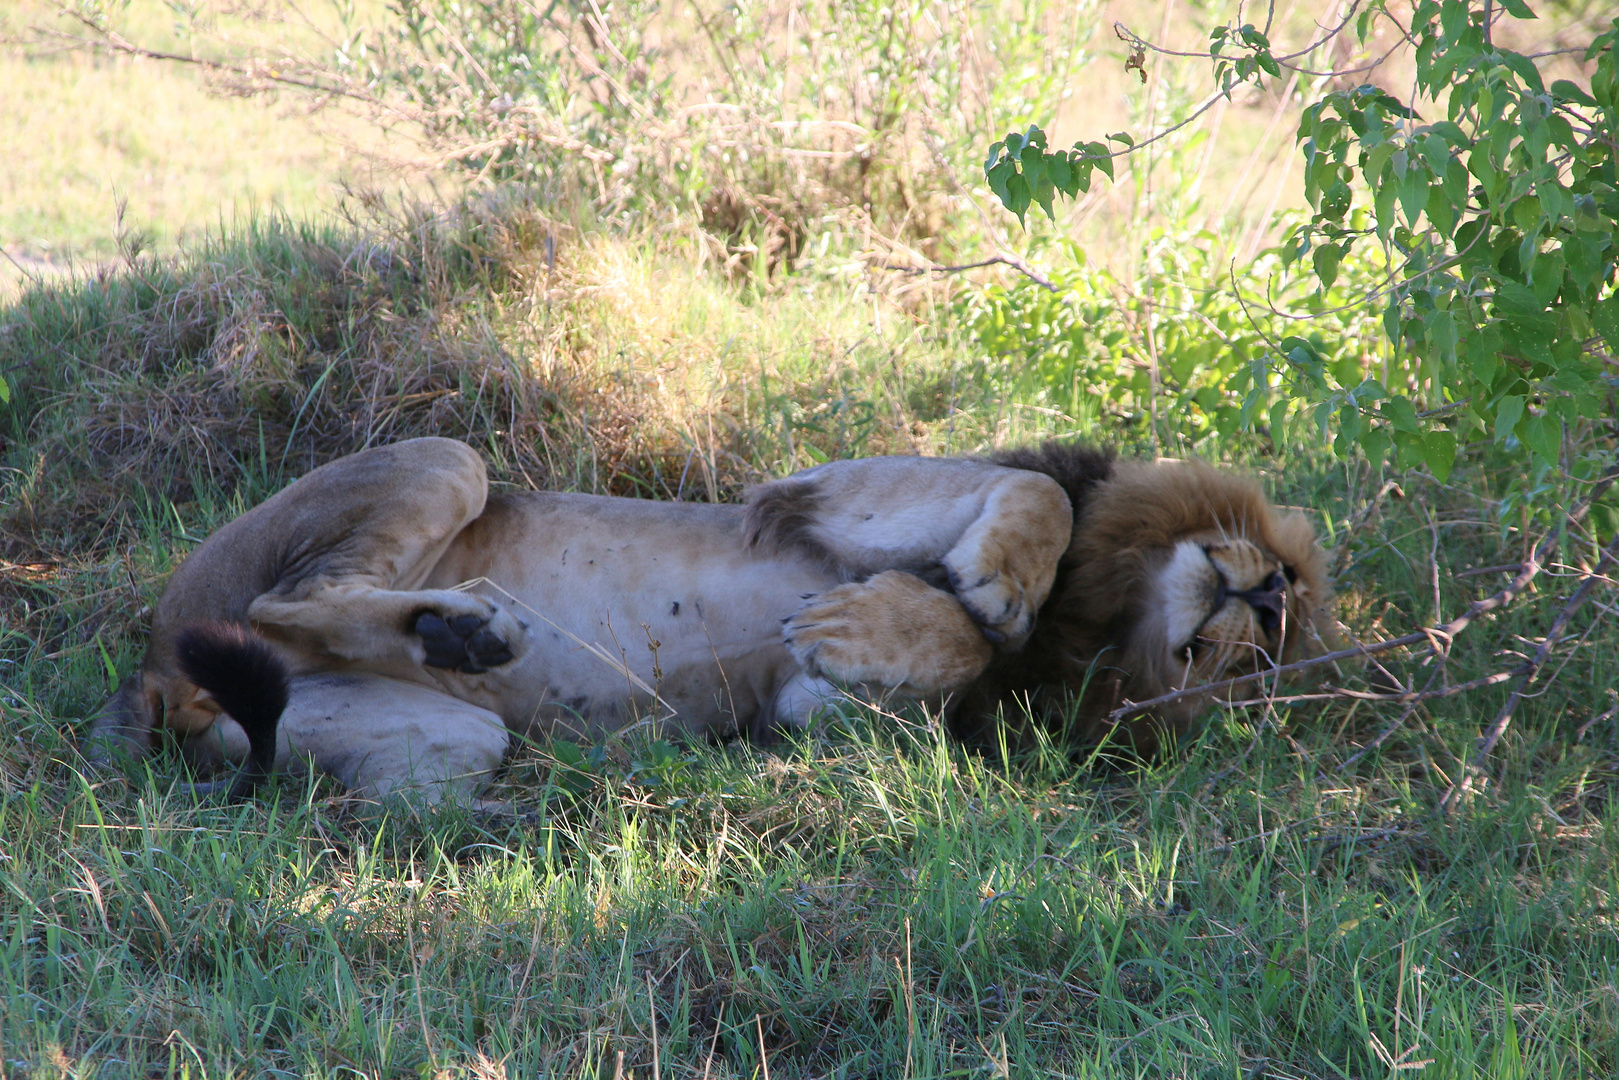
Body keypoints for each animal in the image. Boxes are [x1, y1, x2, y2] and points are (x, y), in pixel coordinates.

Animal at [82, 437, 1334, 803]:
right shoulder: (832, 490)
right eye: (1283, 578)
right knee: (281, 600)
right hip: (444, 455)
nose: (1266, 599)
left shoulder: (816, 716)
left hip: (442, 738)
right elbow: (1029, 507)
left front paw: (862, 630)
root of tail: (148, 671)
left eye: (1263, 659)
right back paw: (466, 627)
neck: (1091, 618)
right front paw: (967, 598)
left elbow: (918, 664)